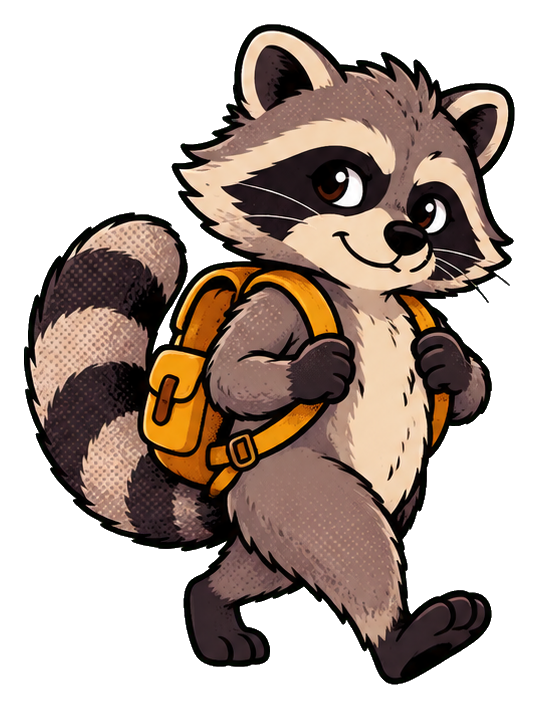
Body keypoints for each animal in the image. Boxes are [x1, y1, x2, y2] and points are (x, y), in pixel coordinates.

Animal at [30, 31, 509, 678]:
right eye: (339, 181)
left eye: (431, 209)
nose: (407, 238)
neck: (365, 293)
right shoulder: (280, 299)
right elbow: (230, 373)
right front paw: (307, 372)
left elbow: (459, 388)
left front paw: (456, 370)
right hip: (281, 476)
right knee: (348, 536)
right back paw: (395, 641)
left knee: (274, 565)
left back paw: (214, 598)